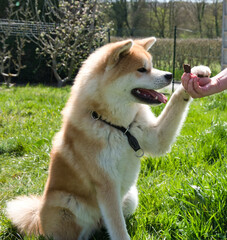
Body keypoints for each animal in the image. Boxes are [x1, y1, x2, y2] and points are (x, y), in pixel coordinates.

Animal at [5, 37, 209, 240]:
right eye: (142, 69)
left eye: (152, 65)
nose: (169, 75)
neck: (119, 127)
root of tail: (38, 220)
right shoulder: (107, 184)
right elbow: (119, 229)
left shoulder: (155, 137)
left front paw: (195, 75)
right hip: (67, 204)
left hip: (131, 197)